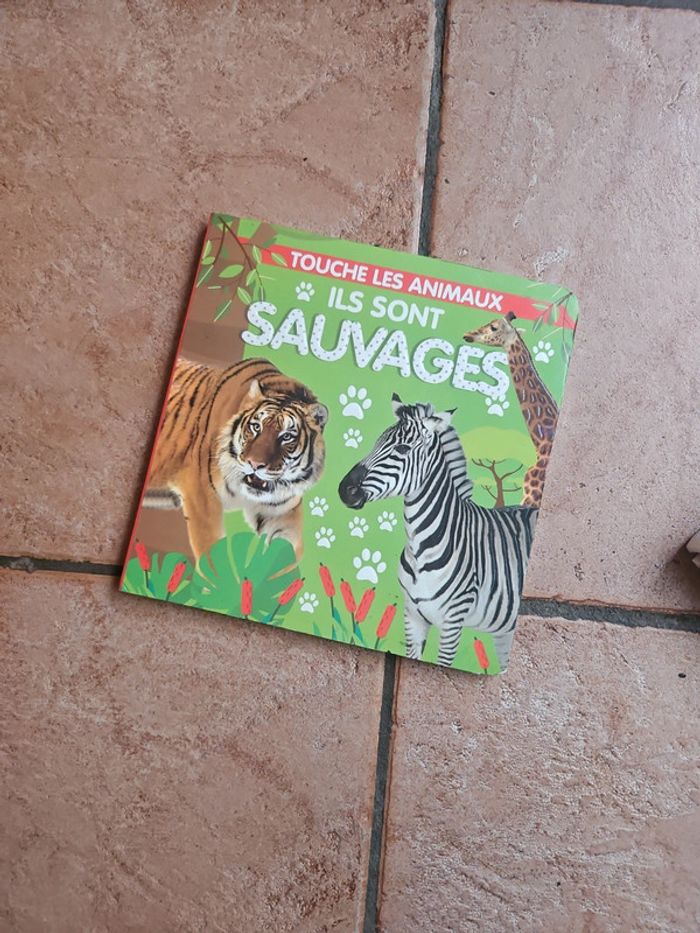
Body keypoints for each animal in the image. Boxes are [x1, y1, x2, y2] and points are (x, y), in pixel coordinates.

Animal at [143, 357, 329, 563]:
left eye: (286, 436)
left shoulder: (282, 512)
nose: (254, 464)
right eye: (256, 427)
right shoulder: (202, 497)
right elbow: (212, 554)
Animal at [338, 394, 537, 670]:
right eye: (378, 441)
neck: (421, 546)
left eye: (403, 449)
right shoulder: (413, 615)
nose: (345, 490)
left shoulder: (452, 621)